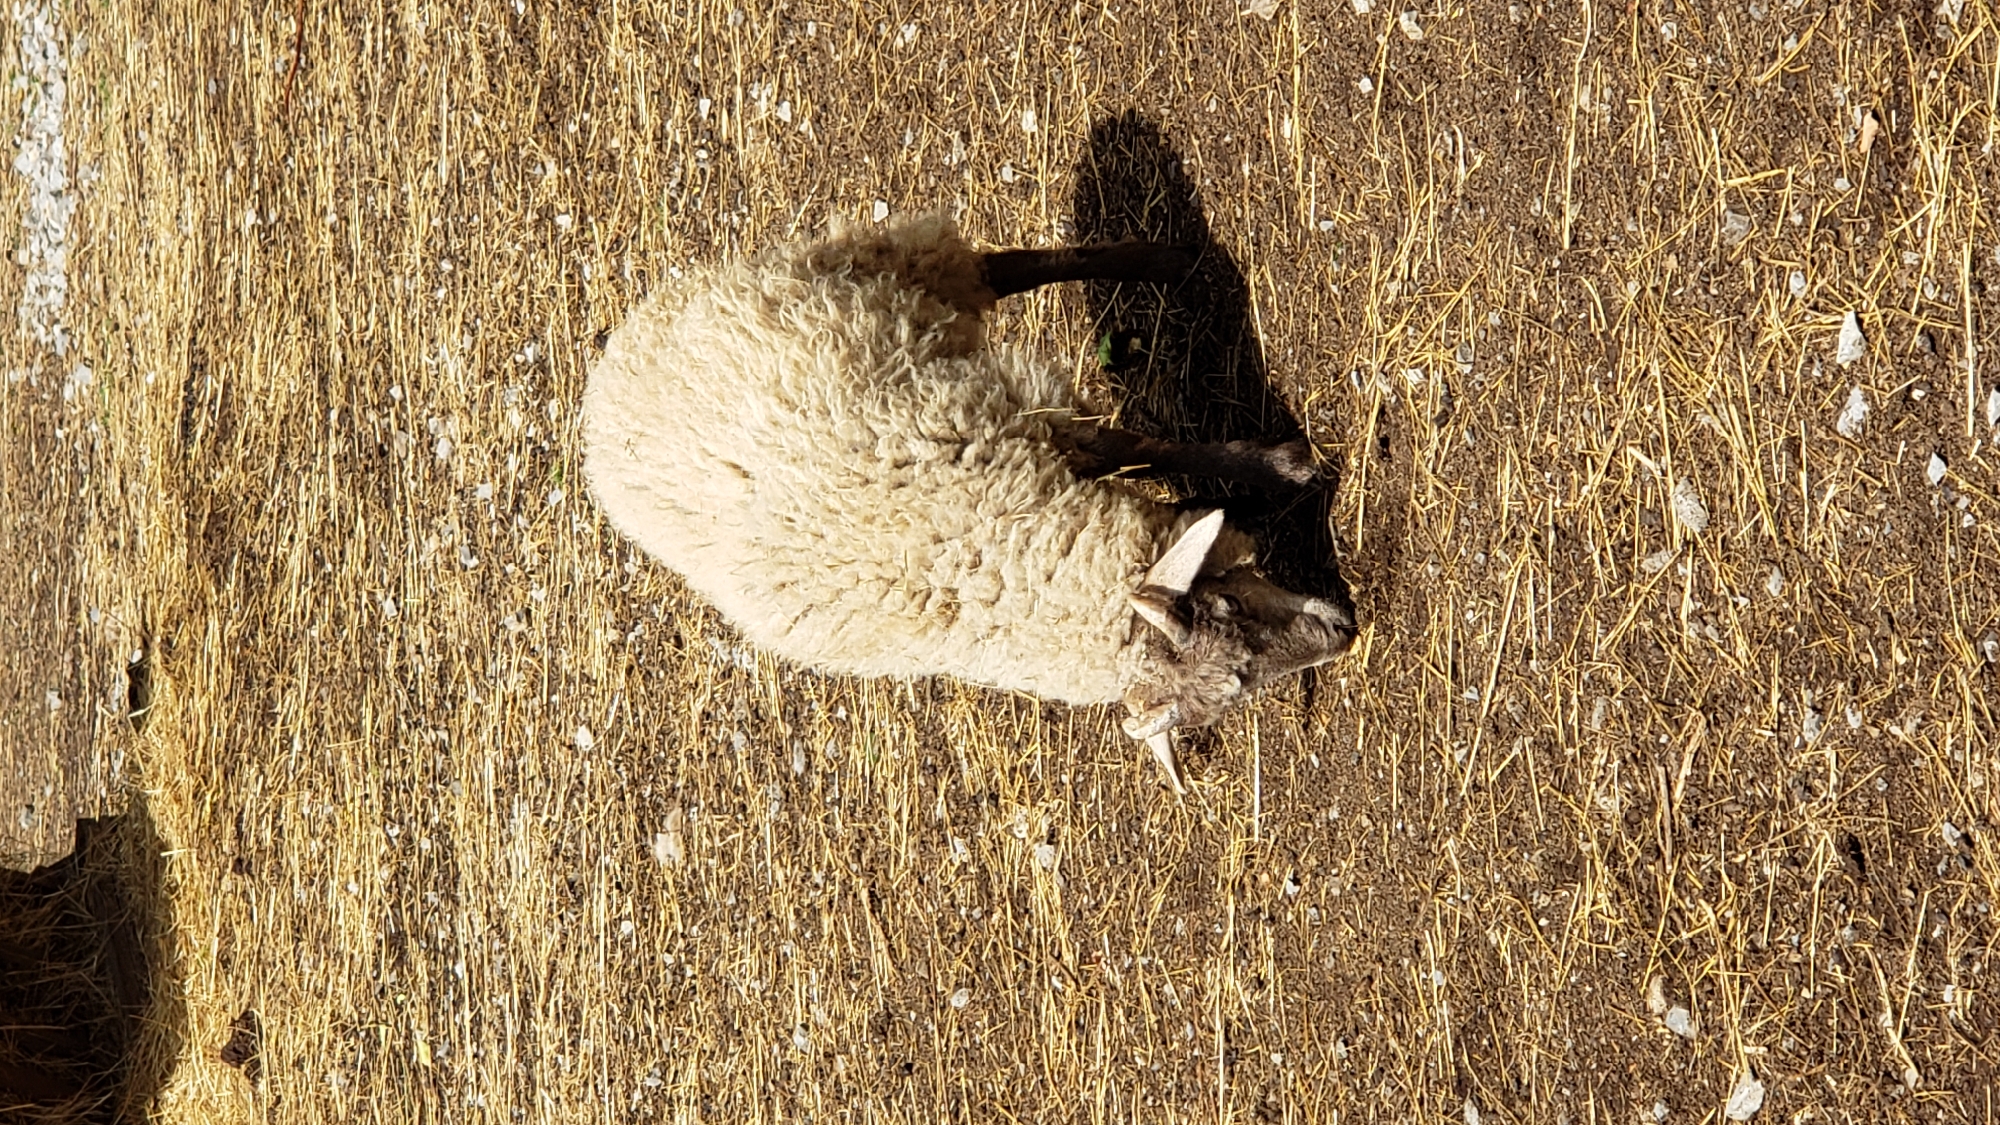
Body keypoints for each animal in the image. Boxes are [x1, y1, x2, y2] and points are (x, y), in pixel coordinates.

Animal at [581, 212, 1353, 791]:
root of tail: (605, 378)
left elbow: (1139, 448)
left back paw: (1161, 259)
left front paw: (1275, 470)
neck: (995, 559)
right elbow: (1140, 451)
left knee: (1002, 267)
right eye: (1236, 669)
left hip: (882, 267)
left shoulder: (1021, 425)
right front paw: (1266, 479)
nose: (1344, 632)